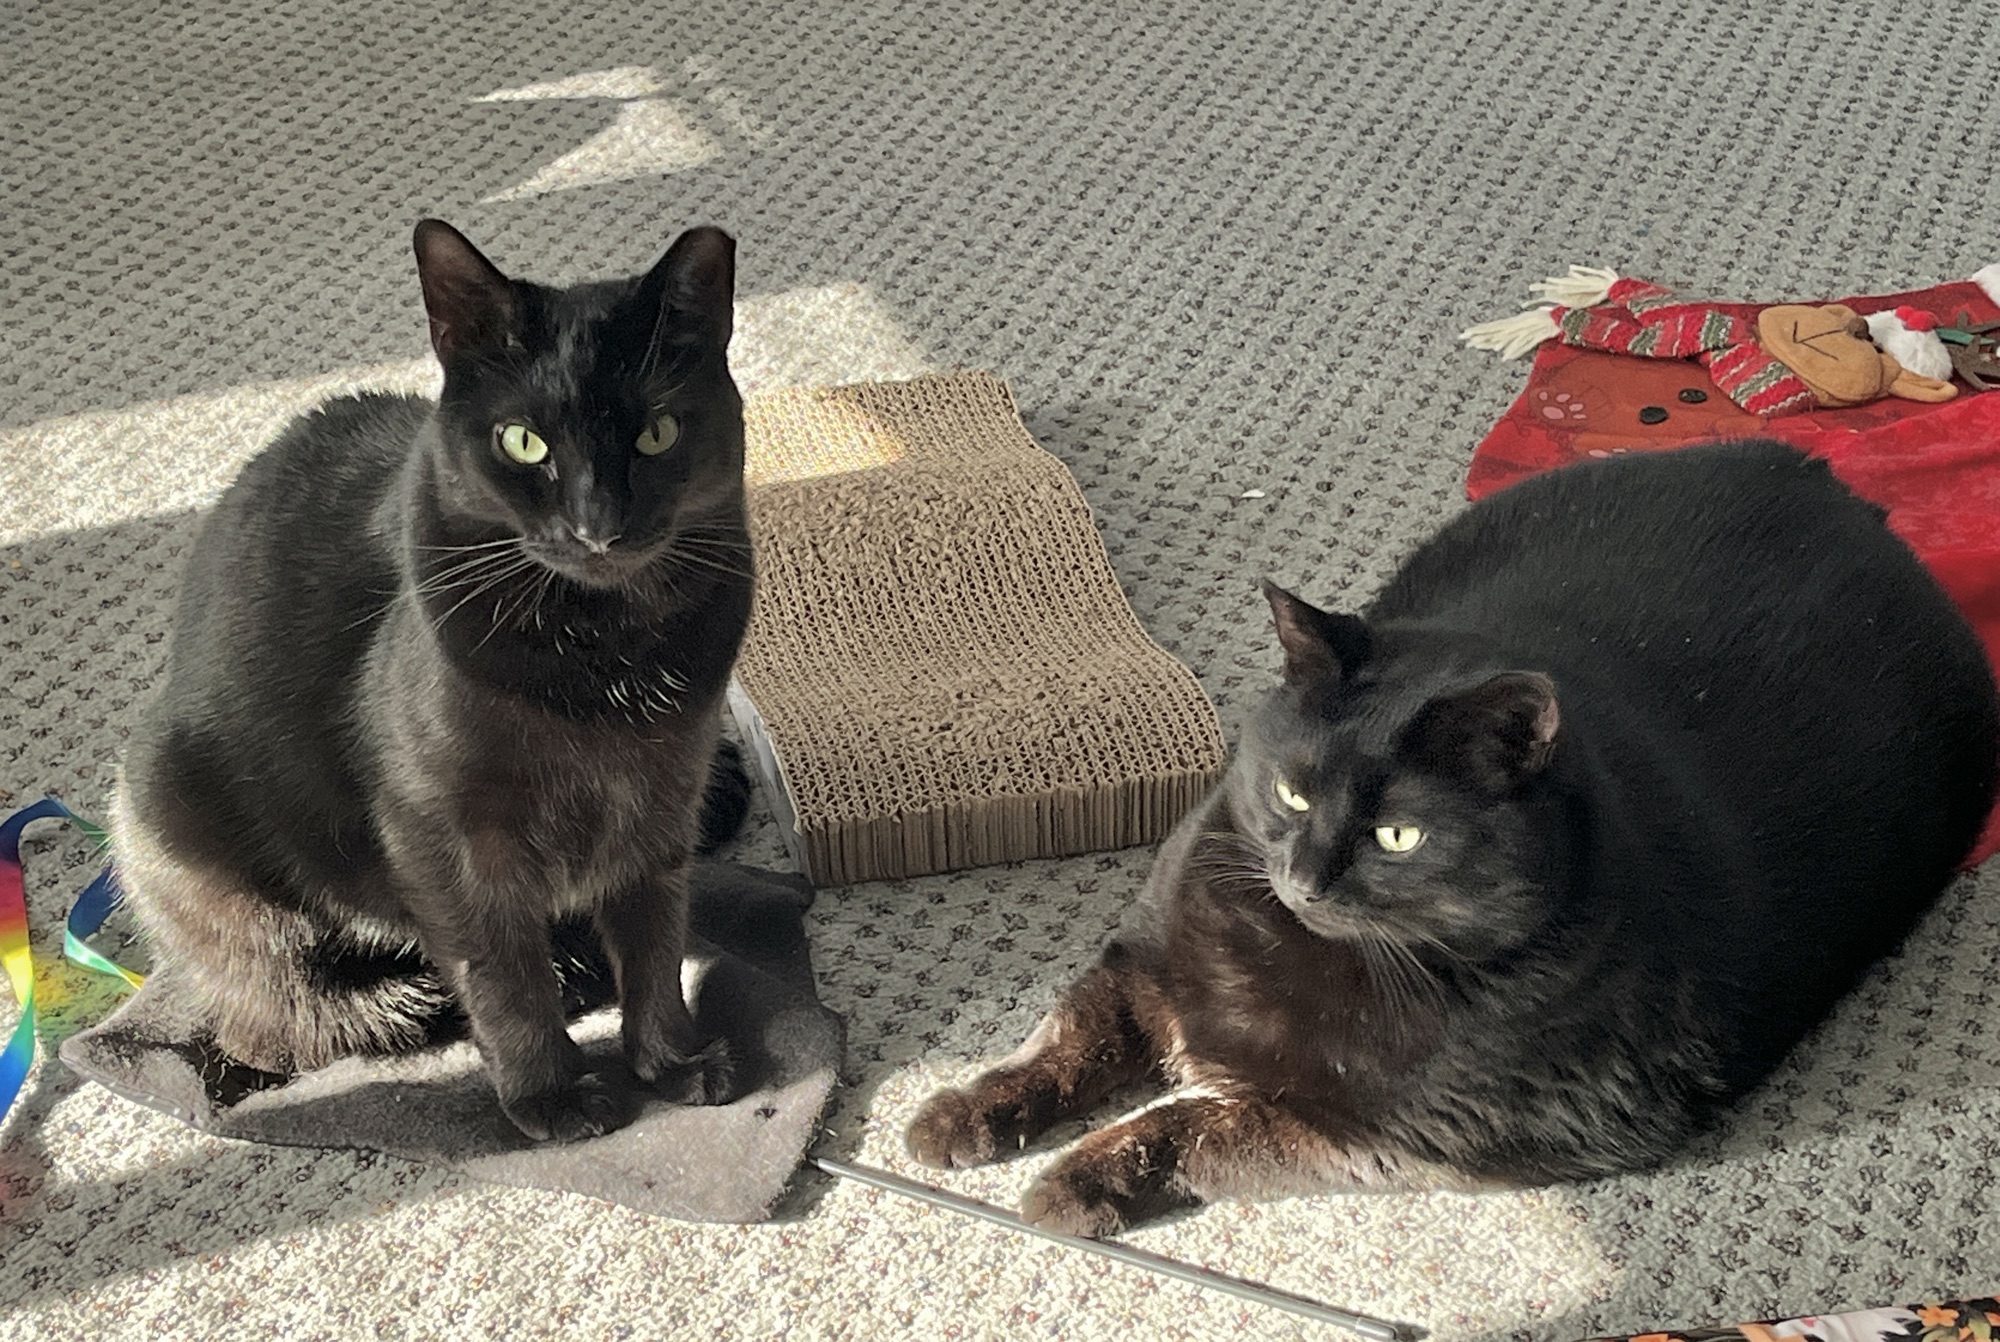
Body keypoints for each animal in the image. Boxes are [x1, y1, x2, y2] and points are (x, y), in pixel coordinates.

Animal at [113, 218, 756, 1142]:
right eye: (523, 441)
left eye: (657, 434)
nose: (596, 527)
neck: (605, 659)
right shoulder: (446, 837)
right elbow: (503, 976)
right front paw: (550, 1095)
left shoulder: (664, 798)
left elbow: (656, 941)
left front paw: (671, 1061)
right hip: (197, 837)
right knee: (280, 1022)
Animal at [908, 440, 1999, 1235]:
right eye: (1293, 791)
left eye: (1398, 834)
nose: (1305, 875)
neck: (1290, 957)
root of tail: (1834, 490)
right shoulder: (1145, 959)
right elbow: (1067, 1039)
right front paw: (961, 1112)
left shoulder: (1376, 1136)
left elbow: (1190, 1127)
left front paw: (1072, 1186)